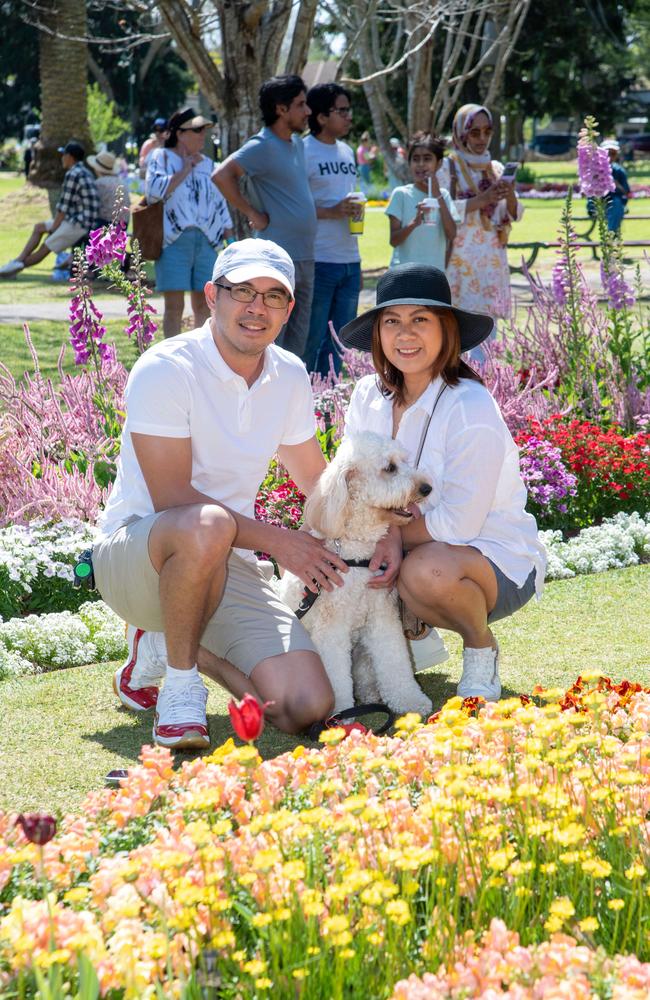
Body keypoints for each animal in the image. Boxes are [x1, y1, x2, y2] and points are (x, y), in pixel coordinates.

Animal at [276, 430, 432, 720]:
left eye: (404, 461)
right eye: (390, 468)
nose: (427, 488)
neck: (356, 552)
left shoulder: (382, 617)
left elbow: (395, 662)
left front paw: (410, 700)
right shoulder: (331, 629)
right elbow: (336, 675)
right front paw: (340, 712)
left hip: (362, 651)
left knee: (366, 676)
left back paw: (371, 696)